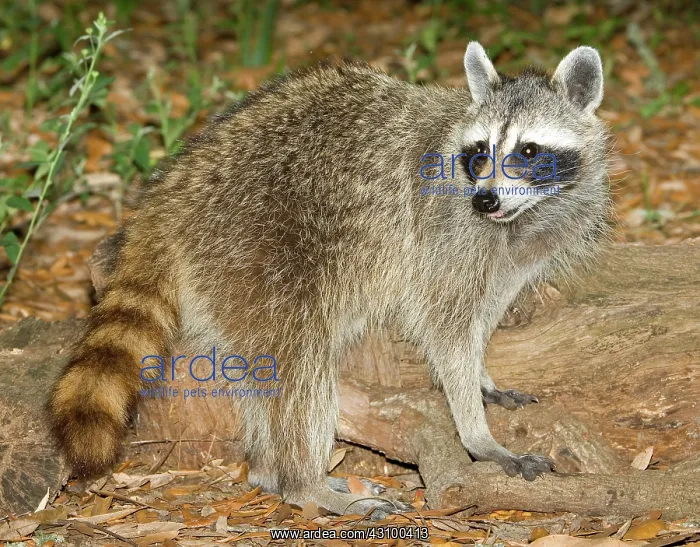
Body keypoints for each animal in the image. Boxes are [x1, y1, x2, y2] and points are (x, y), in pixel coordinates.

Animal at [48, 42, 610, 517]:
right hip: (255, 243)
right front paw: (478, 433)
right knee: (299, 361)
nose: (486, 199)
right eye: (480, 152)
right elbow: (445, 331)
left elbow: (484, 312)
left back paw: (269, 472)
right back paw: (301, 480)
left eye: (529, 151)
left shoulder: (520, 248)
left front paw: (482, 377)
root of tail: (170, 193)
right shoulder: (442, 234)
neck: (521, 218)